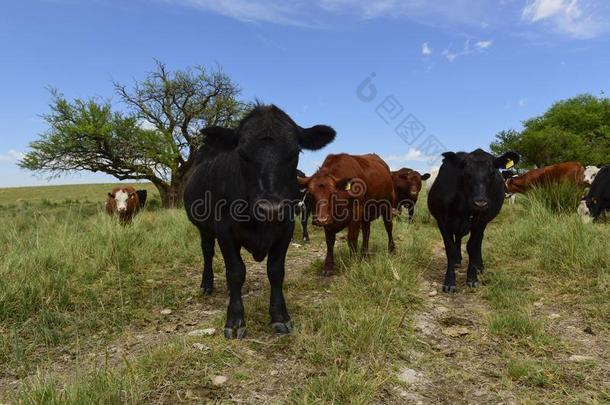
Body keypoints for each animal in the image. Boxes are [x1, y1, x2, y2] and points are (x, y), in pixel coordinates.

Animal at [428, 148, 516, 290]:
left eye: (492, 173)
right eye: (466, 173)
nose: (480, 203)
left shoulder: (481, 220)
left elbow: (472, 246)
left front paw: (472, 278)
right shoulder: (442, 220)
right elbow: (450, 249)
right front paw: (449, 282)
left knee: (478, 241)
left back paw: (479, 267)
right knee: (458, 238)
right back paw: (457, 261)